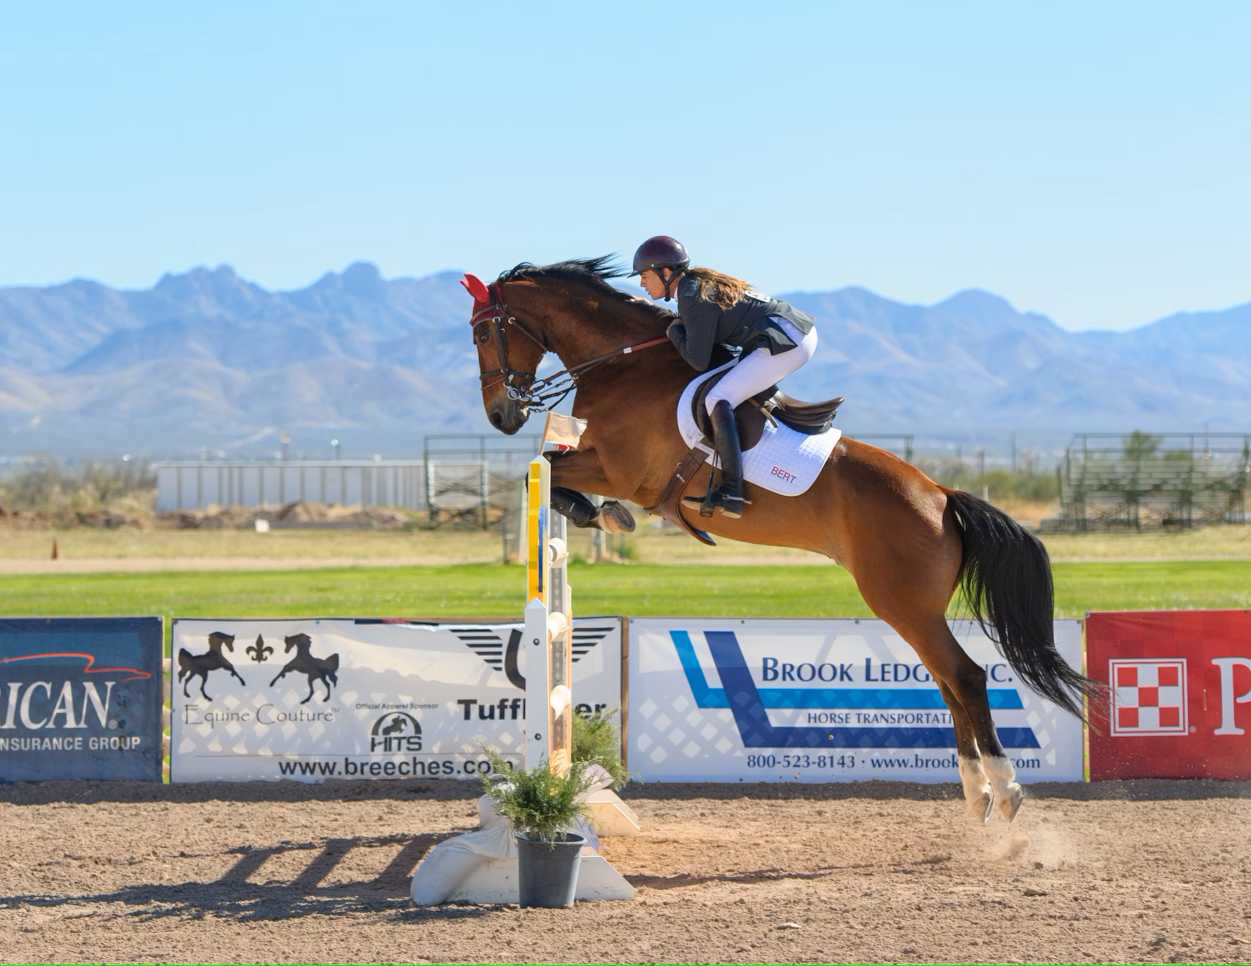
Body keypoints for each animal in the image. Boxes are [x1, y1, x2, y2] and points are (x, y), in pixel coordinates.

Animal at [460, 255, 1095, 820]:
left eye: (484, 332)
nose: (500, 416)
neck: (622, 366)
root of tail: (940, 495)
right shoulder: (600, 461)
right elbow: (547, 468)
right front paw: (598, 514)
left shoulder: (619, 468)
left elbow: (543, 468)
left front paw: (599, 513)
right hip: (912, 608)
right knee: (945, 682)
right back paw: (976, 793)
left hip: (902, 602)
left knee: (963, 677)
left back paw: (1005, 791)